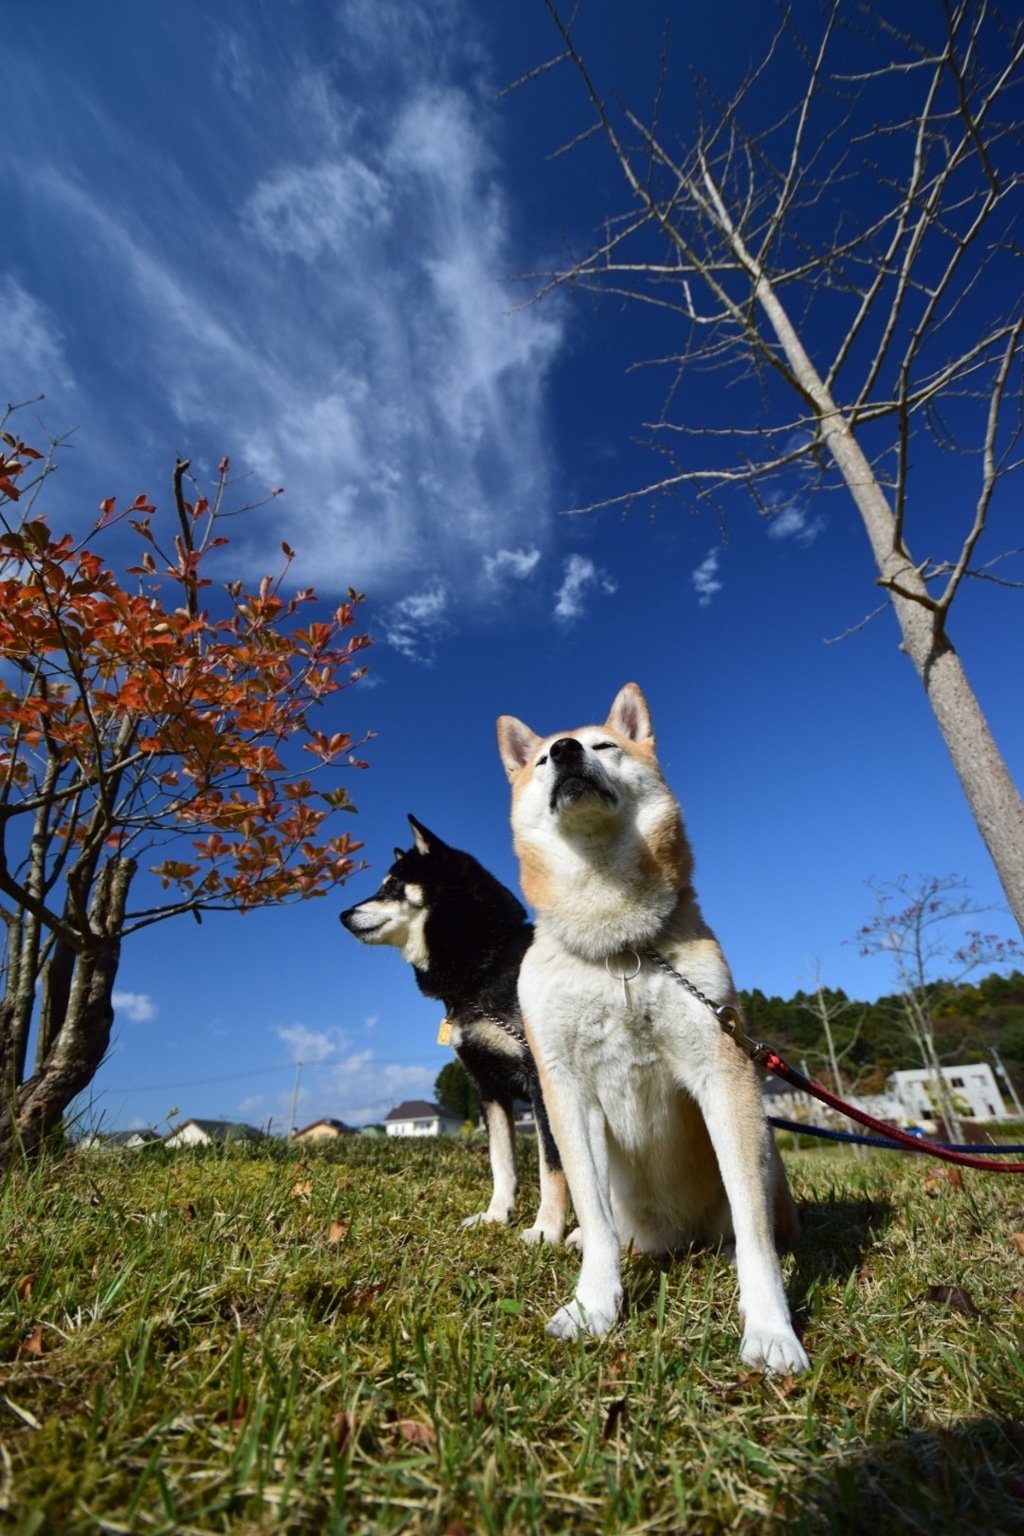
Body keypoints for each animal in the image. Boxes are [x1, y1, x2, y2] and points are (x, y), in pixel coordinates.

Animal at [343, 823, 568, 1241]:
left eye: (393, 886)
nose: (342, 914)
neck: (486, 974)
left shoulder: (542, 1083)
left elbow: (552, 1165)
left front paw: (546, 1231)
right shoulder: (487, 1087)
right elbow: (501, 1163)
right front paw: (496, 1216)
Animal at [497, 678, 810, 1376]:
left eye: (604, 746)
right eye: (542, 759)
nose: (565, 750)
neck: (618, 948)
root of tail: (671, 1242)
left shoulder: (723, 1066)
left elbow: (753, 1233)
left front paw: (771, 1328)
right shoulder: (564, 1089)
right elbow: (589, 1210)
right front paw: (593, 1305)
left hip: (766, 1157)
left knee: (754, 1225)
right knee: (613, 1229)